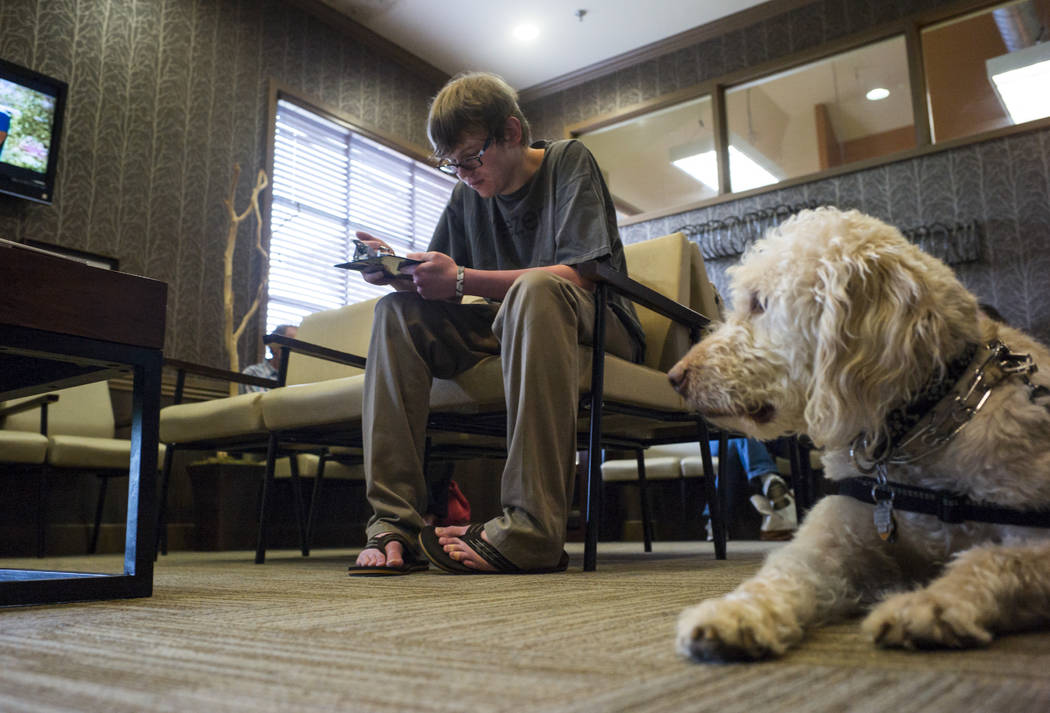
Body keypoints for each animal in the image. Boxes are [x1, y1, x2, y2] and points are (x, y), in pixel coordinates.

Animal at [667, 207, 1050, 663]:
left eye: (759, 303)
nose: (675, 376)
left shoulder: (1036, 536)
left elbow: (995, 560)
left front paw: (930, 603)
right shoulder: (827, 546)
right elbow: (780, 573)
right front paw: (736, 613)